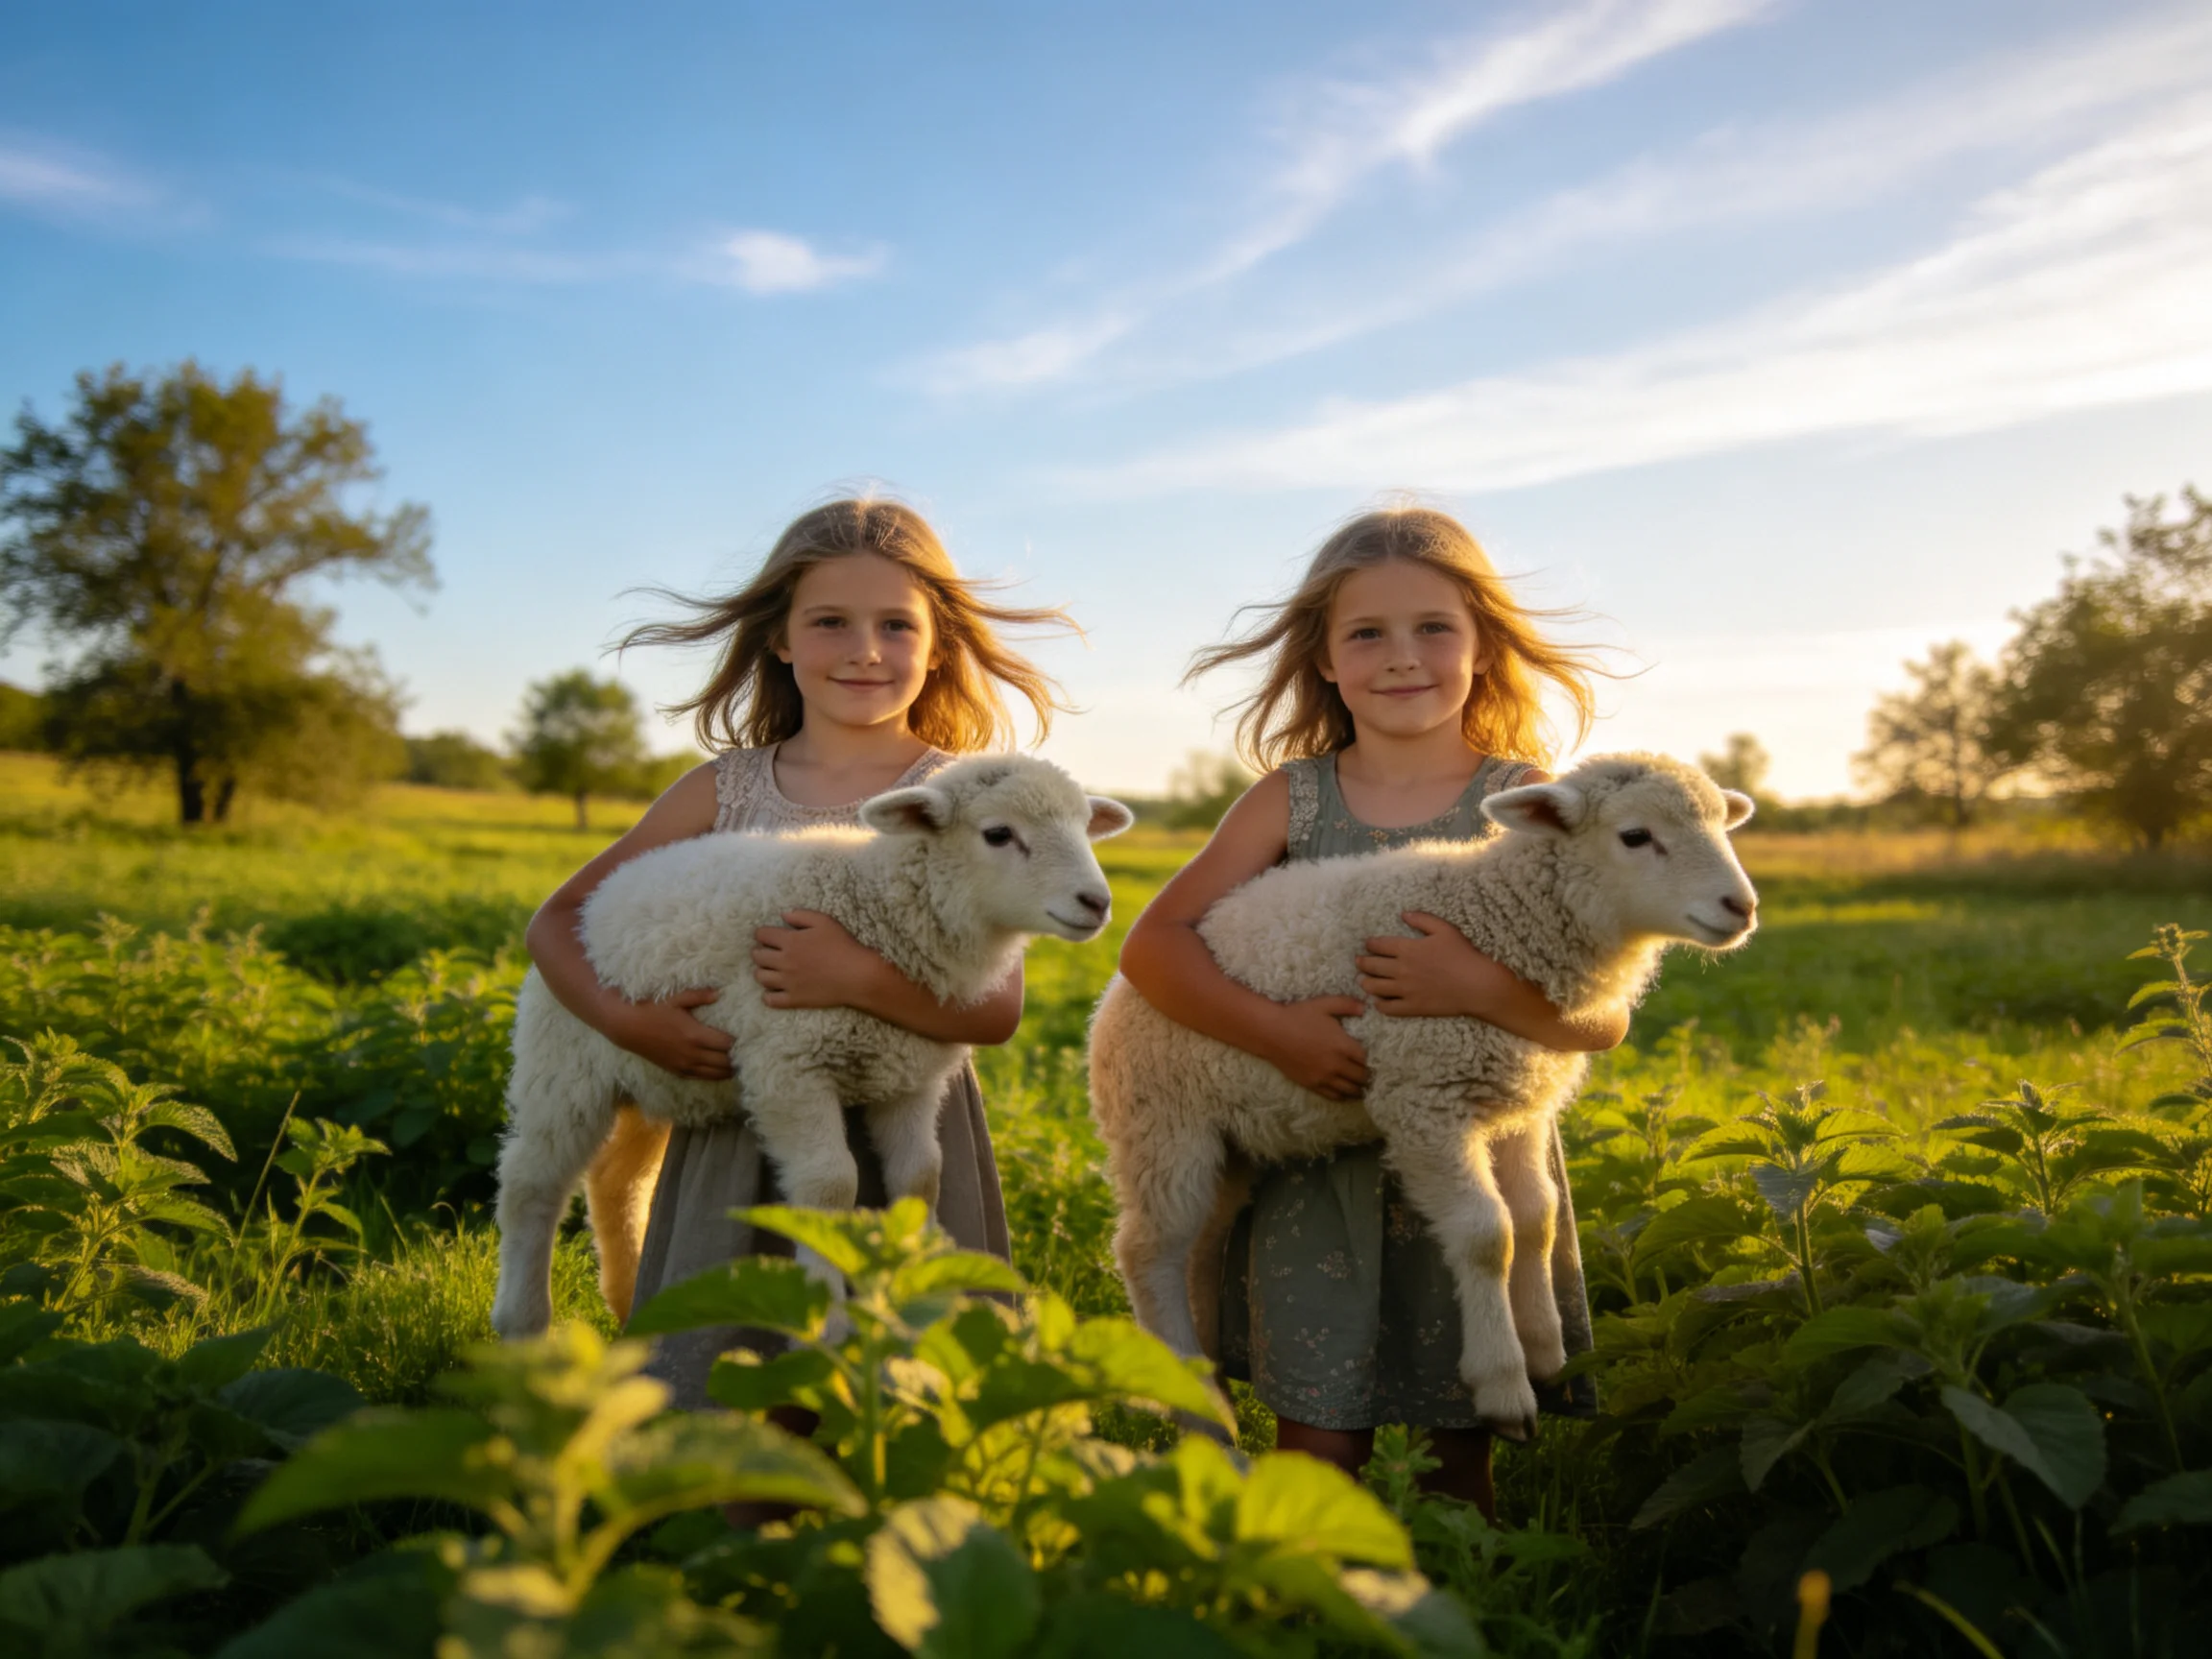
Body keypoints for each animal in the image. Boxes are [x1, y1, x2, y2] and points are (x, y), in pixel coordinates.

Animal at [492, 754, 1134, 1340]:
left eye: (1083, 826)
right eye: (998, 834)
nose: (1096, 903)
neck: (877, 915)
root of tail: (606, 887)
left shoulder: (911, 1076)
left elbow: (921, 1177)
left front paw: (916, 1300)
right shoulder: (789, 1068)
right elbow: (830, 1185)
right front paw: (826, 1319)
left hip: (653, 1076)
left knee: (617, 1181)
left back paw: (631, 1308)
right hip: (564, 1066)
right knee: (532, 1183)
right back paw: (522, 1322)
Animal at [1087, 753, 1757, 1438]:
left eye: (1719, 824)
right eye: (1635, 836)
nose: (1742, 906)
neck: (1500, 926)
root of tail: (1109, 997)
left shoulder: (1519, 1101)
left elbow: (1537, 1217)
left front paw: (1548, 1352)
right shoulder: (1424, 1099)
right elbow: (1488, 1234)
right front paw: (1504, 1384)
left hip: (1231, 1143)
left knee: (1200, 1246)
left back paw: (1208, 1385)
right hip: (1162, 1123)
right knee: (1148, 1253)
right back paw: (1205, 1419)